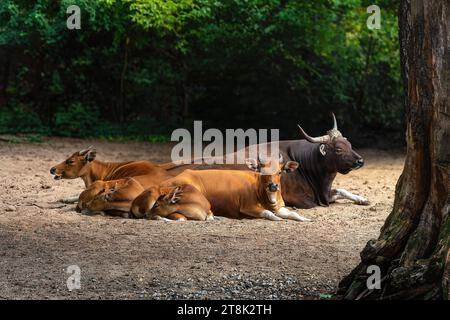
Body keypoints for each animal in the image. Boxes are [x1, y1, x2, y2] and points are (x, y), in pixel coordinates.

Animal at [165, 114, 370, 209]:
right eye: (338, 149)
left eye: (349, 144)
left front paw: (363, 199)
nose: (360, 161)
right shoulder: (302, 198)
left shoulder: (324, 193)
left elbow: (341, 191)